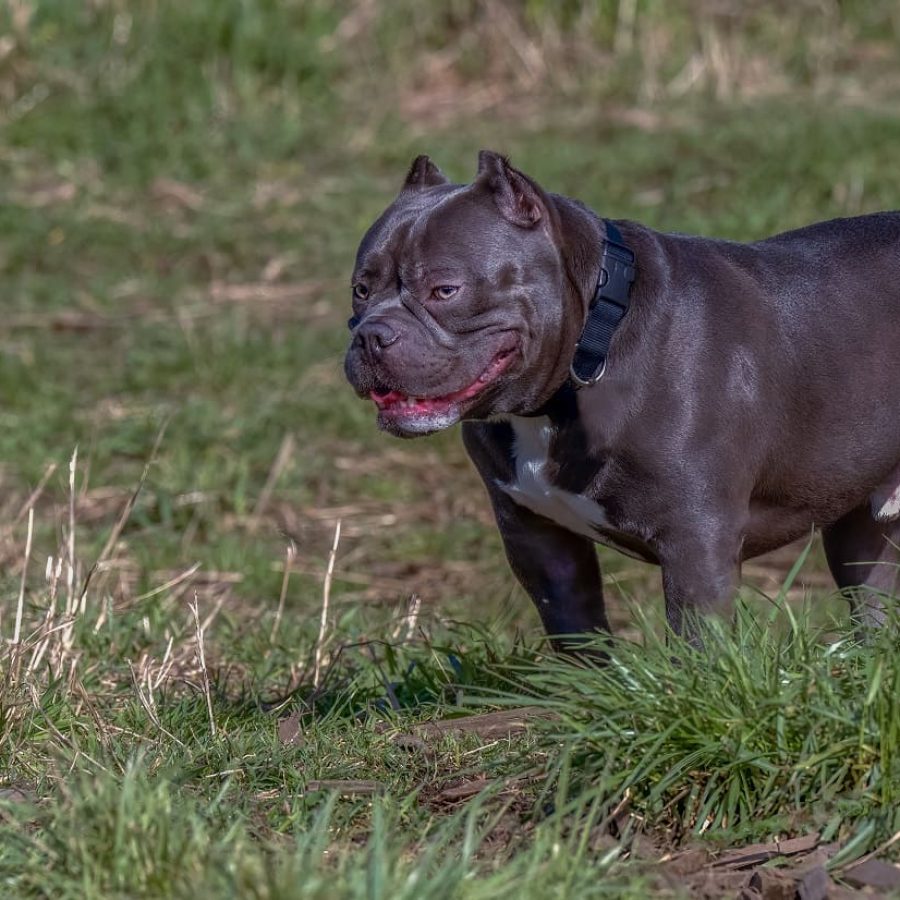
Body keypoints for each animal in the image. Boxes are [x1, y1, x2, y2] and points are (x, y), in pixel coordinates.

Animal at [344, 153, 900, 648]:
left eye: (445, 290)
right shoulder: (540, 543)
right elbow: (579, 640)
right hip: (861, 530)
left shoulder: (697, 543)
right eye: (360, 290)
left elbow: (698, 642)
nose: (371, 335)